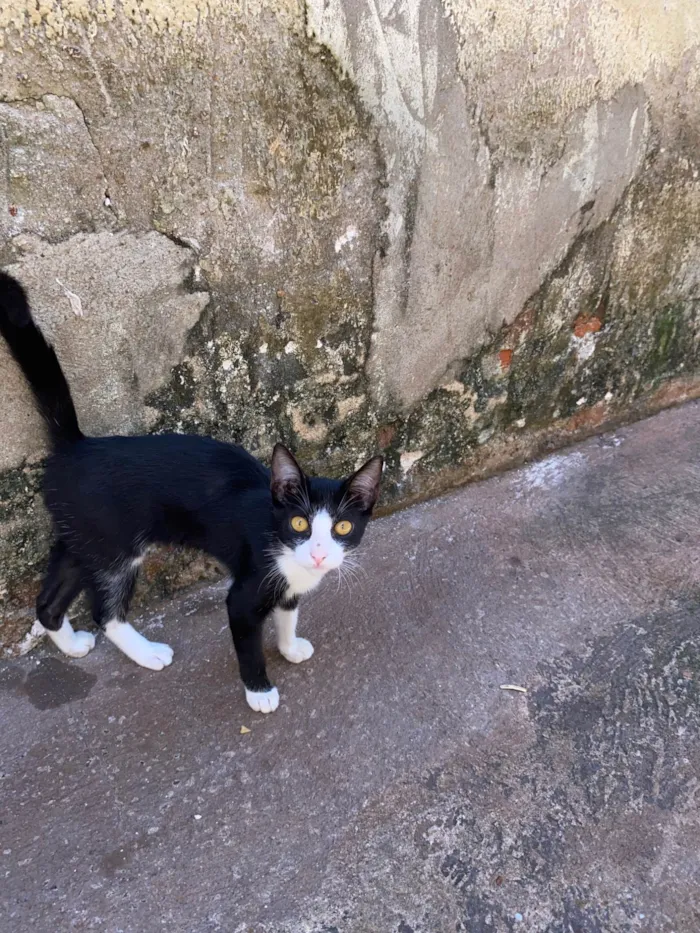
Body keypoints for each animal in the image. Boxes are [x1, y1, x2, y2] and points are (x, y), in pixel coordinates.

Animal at [0, 270, 382, 712]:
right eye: (300, 523)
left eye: (342, 528)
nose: (319, 555)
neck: (280, 541)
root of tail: (77, 447)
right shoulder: (247, 589)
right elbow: (247, 639)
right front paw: (260, 691)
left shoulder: (288, 584)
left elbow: (288, 610)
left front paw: (289, 647)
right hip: (114, 550)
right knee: (105, 611)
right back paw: (146, 652)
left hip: (85, 536)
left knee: (50, 596)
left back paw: (70, 642)